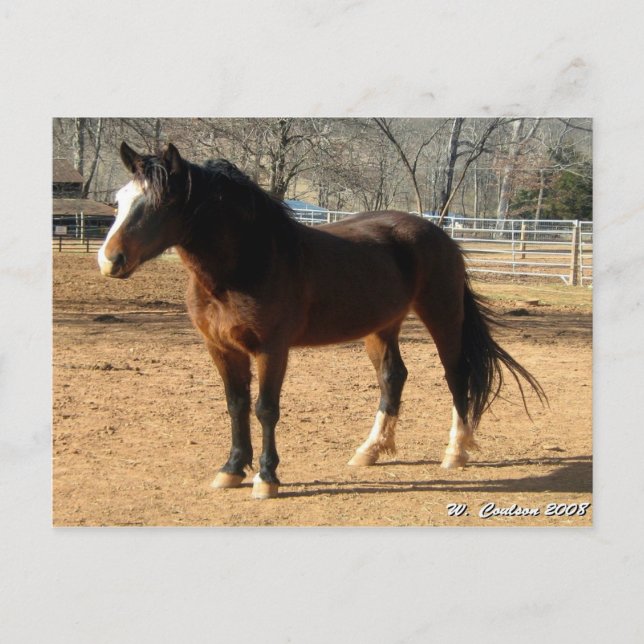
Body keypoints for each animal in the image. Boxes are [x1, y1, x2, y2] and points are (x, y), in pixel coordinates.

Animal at [98, 142, 545, 499]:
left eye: (162, 203)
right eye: (120, 200)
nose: (110, 260)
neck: (248, 263)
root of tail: (439, 234)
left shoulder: (271, 350)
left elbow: (265, 409)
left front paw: (266, 479)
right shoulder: (222, 349)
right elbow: (236, 406)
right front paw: (231, 471)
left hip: (443, 316)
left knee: (456, 376)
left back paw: (455, 452)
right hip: (381, 327)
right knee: (393, 378)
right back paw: (369, 451)